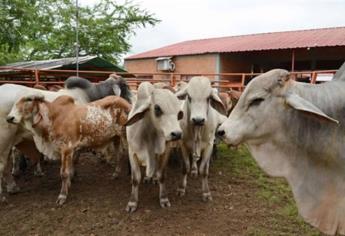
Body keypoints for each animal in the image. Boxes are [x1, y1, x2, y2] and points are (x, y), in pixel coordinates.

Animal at [123, 81, 183, 212]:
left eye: (178, 112)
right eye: (157, 108)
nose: (177, 134)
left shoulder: (165, 150)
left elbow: (161, 175)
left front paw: (163, 198)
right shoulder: (132, 152)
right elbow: (136, 179)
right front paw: (132, 202)